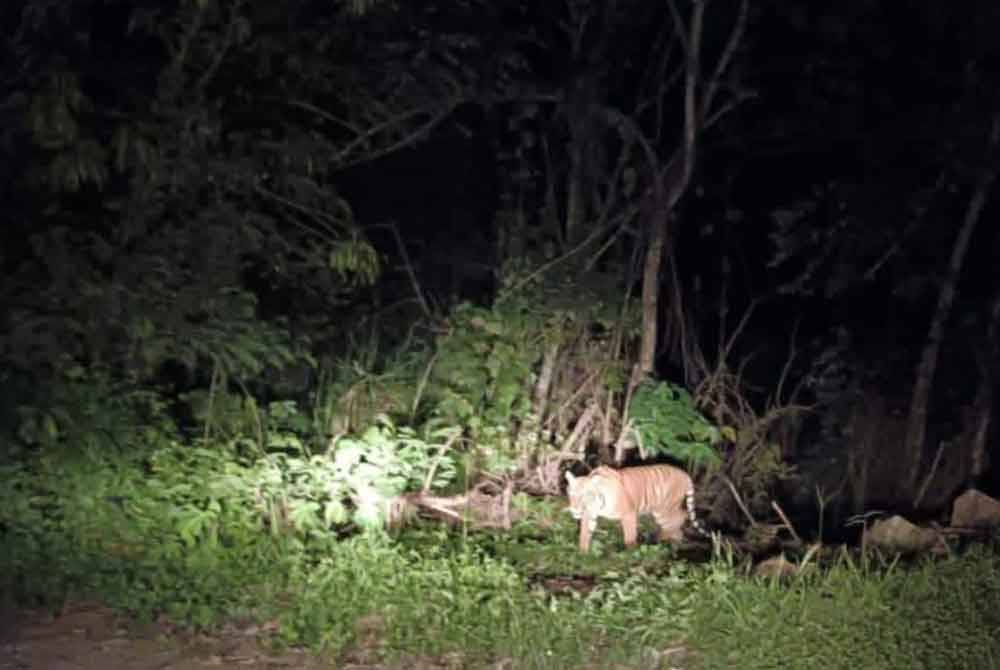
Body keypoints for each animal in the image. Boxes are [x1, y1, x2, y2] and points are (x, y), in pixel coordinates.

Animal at [564, 464, 712, 552]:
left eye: (585, 495)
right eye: (571, 494)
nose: (575, 510)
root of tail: (685, 474)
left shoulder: (629, 514)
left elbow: (629, 536)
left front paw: (631, 552)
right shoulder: (589, 514)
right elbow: (584, 534)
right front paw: (582, 553)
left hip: (664, 511)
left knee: (680, 518)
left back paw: (666, 541)